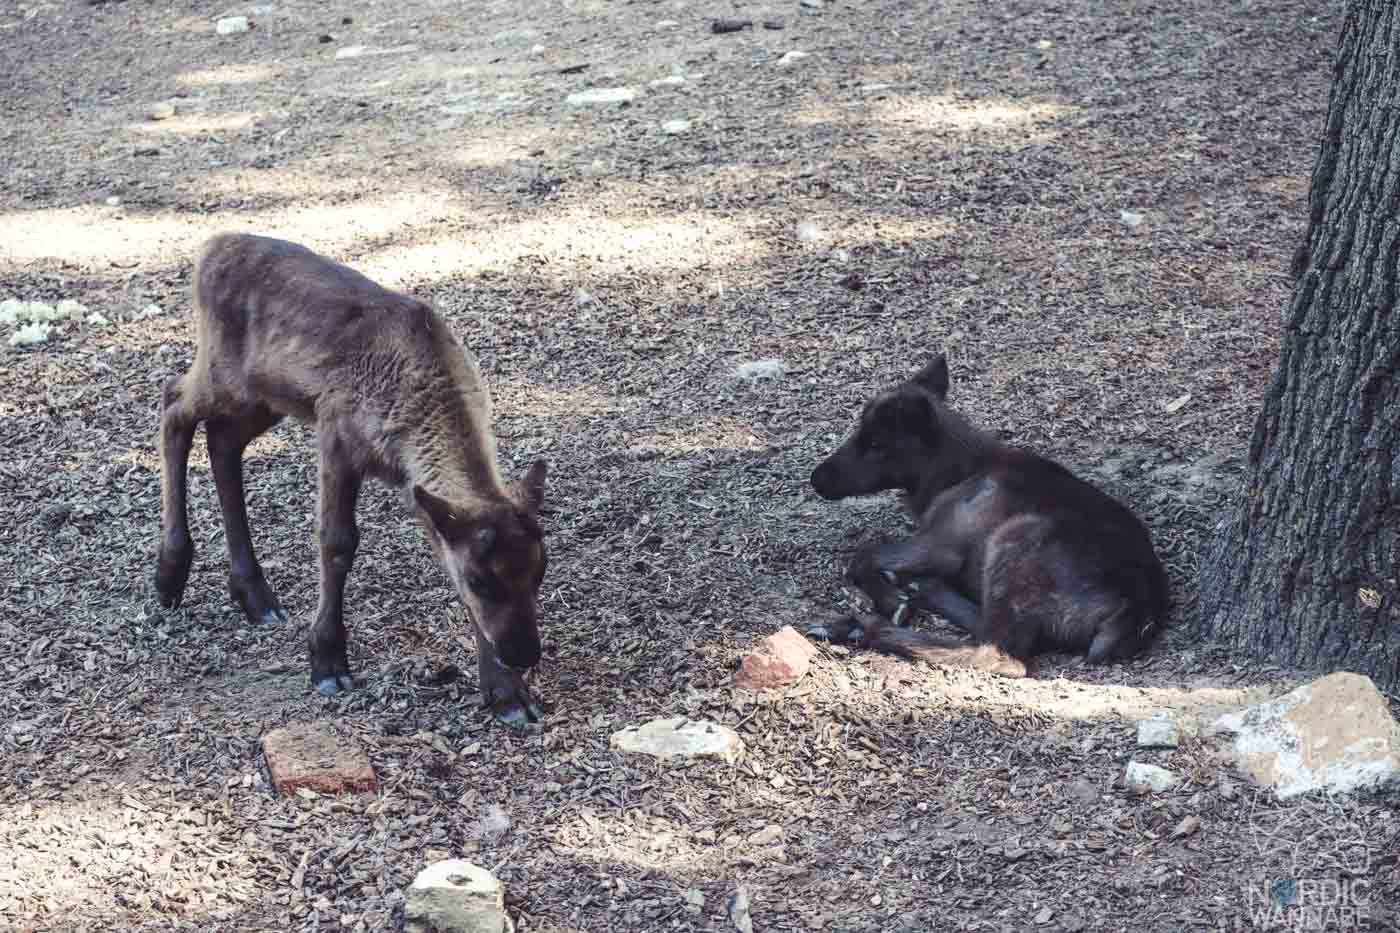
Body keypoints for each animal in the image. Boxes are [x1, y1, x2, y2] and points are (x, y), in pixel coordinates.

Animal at [151, 232, 546, 728]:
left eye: (540, 571)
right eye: (481, 581)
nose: (524, 654)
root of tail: (209, 247)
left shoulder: (418, 488)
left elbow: (443, 551)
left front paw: (507, 693)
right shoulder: (337, 435)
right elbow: (337, 542)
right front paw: (328, 661)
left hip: (265, 397)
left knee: (223, 442)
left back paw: (255, 595)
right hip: (224, 372)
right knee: (173, 404)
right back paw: (170, 572)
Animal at [806, 348, 1164, 675]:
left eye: (876, 444)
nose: (816, 478)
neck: (948, 478)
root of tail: (1135, 612)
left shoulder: (940, 544)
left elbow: (862, 556)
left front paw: (892, 601)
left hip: (1014, 539)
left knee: (1001, 654)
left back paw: (859, 627)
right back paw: (922, 588)